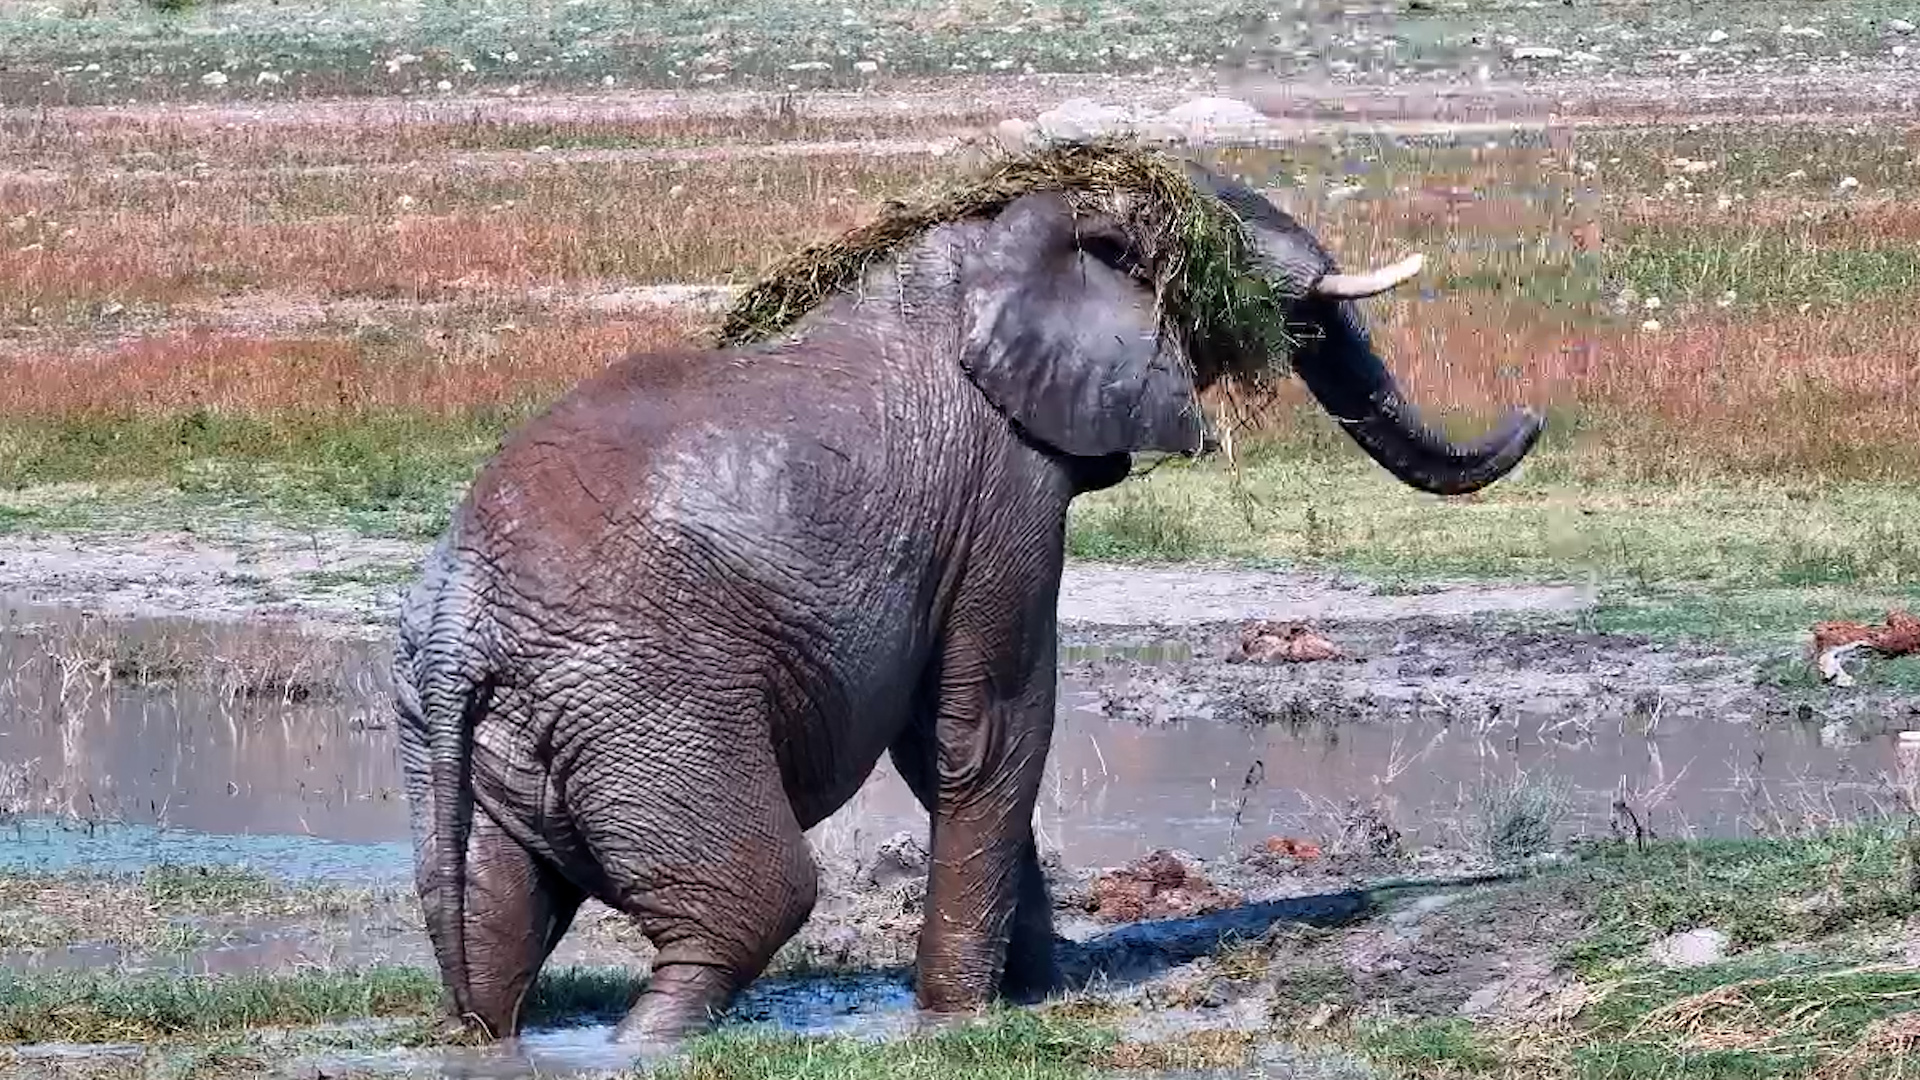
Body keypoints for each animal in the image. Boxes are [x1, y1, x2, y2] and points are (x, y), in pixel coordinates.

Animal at [389, 147, 1544, 1046]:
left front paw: (1044, 989)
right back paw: (652, 1038)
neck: (991, 237)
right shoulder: (1002, 482)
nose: (1531, 414)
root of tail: (457, 628)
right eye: (1210, 222)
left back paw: (491, 1035)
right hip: (652, 705)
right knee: (749, 910)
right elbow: (986, 727)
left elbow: (952, 738)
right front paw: (962, 1017)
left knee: (496, 928)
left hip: (487, 738)